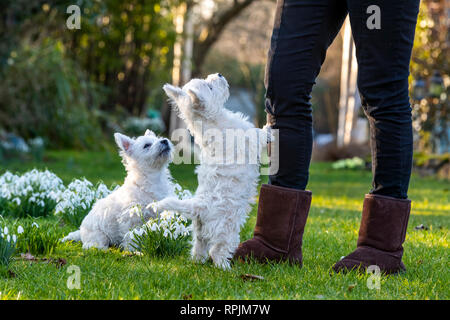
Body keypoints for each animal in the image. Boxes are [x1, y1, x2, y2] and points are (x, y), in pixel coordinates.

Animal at [150, 74, 270, 268]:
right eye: (210, 87)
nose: (219, 75)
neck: (213, 121)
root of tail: (200, 206)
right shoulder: (249, 138)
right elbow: (258, 135)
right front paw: (269, 128)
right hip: (227, 230)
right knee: (217, 251)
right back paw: (226, 267)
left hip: (200, 230)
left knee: (199, 247)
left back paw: (197, 261)